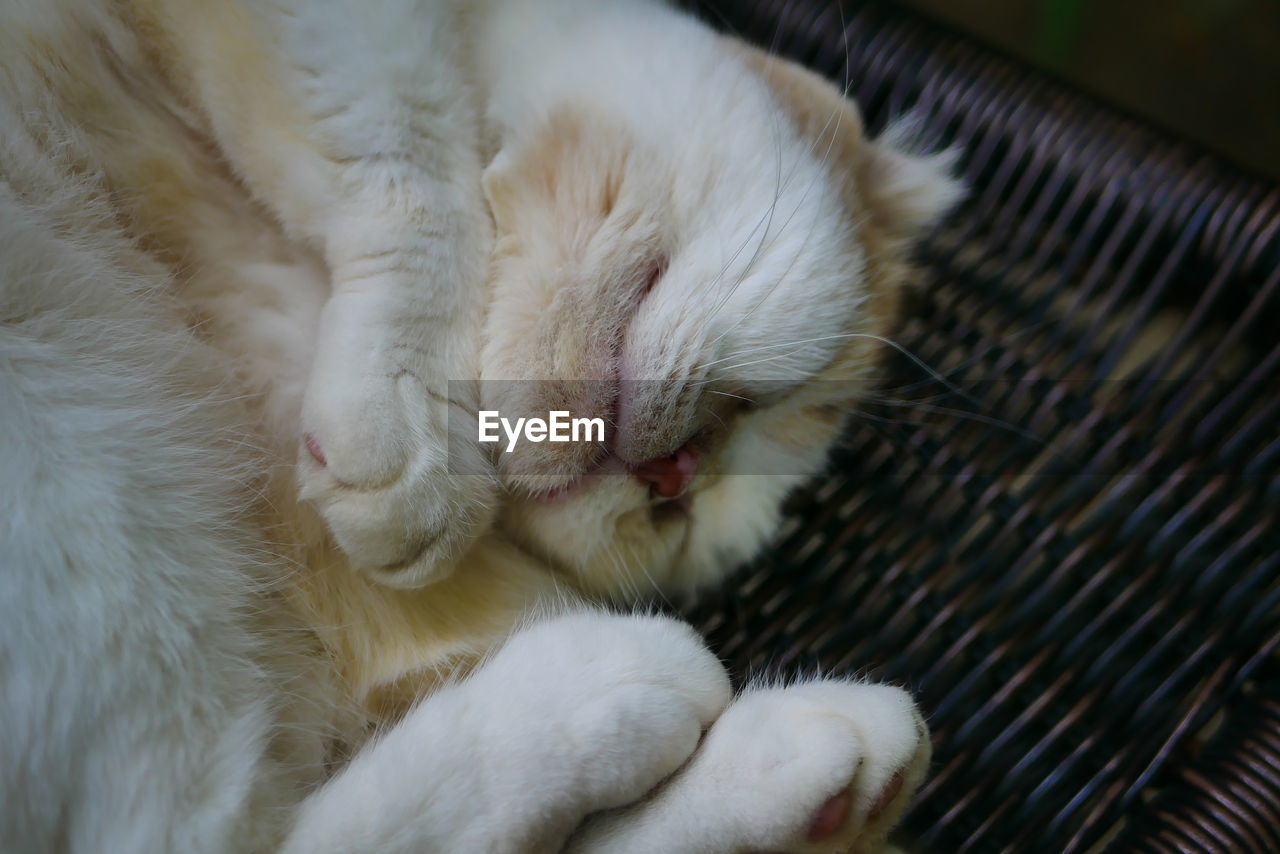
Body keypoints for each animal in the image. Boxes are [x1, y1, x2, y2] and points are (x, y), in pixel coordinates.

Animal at [0, 1, 962, 854]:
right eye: (761, 403)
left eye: (683, 523)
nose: (676, 476)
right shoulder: (341, 39)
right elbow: (412, 163)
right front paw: (412, 431)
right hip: (83, 468)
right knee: (189, 830)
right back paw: (630, 696)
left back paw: (774, 757)